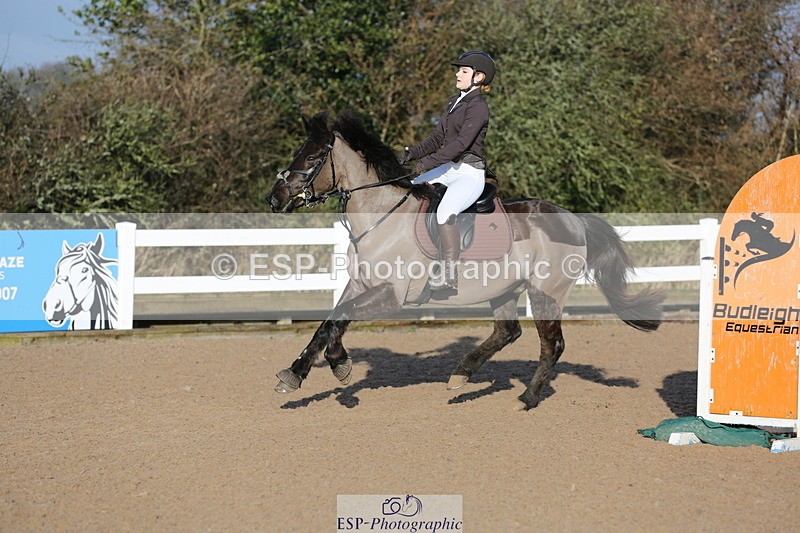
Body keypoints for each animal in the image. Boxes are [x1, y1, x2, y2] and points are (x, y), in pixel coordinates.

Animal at [265, 110, 663, 410]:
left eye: (312, 159)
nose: (274, 199)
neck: (381, 216)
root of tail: (574, 219)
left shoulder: (391, 295)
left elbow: (337, 321)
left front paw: (338, 366)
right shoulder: (360, 284)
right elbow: (328, 323)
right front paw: (299, 373)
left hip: (546, 291)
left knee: (552, 345)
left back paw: (526, 398)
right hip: (506, 289)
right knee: (508, 331)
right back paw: (462, 374)